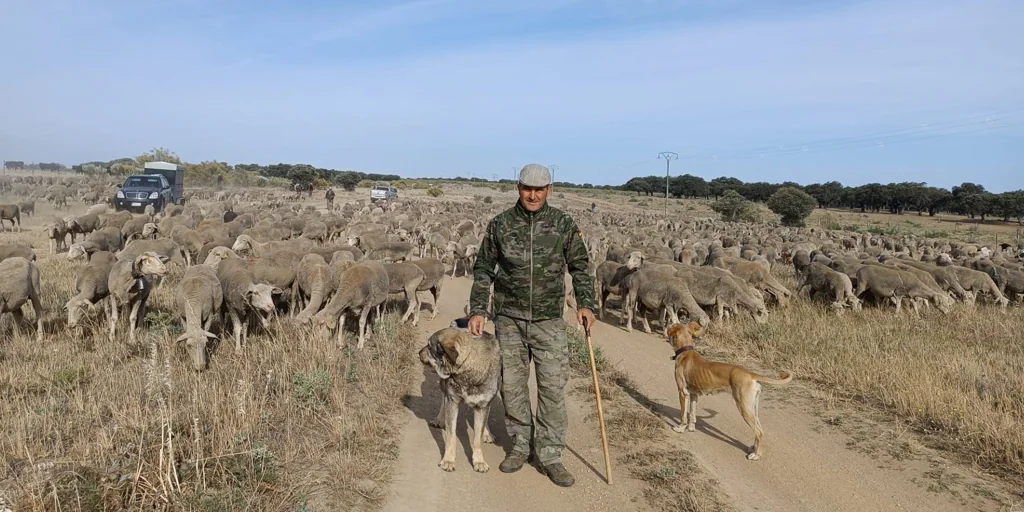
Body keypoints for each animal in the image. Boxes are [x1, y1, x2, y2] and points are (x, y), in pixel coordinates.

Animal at [667, 319, 794, 460]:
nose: (667, 324)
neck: (685, 351)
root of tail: (750, 374)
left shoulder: (682, 392)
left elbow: (683, 415)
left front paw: (680, 428)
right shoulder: (694, 394)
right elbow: (692, 414)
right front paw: (691, 428)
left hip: (743, 407)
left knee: (759, 432)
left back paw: (756, 455)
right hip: (753, 408)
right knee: (759, 430)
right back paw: (753, 448)